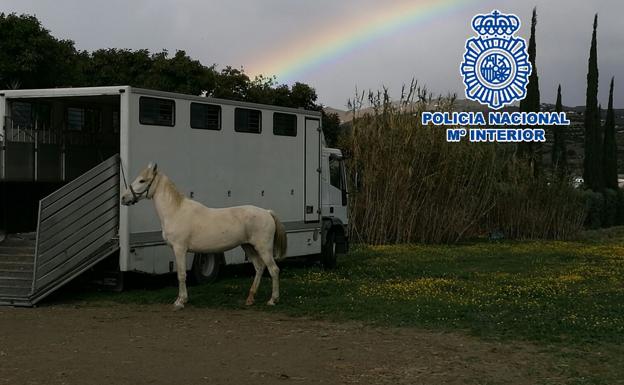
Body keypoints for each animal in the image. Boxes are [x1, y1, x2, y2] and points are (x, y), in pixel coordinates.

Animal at [121, 162, 288, 308]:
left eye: (142, 180)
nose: (123, 198)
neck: (175, 211)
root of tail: (267, 212)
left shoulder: (180, 249)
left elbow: (181, 274)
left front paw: (180, 301)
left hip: (263, 248)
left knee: (274, 270)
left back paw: (273, 300)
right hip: (248, 246)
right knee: (259, 267)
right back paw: (250, 299)